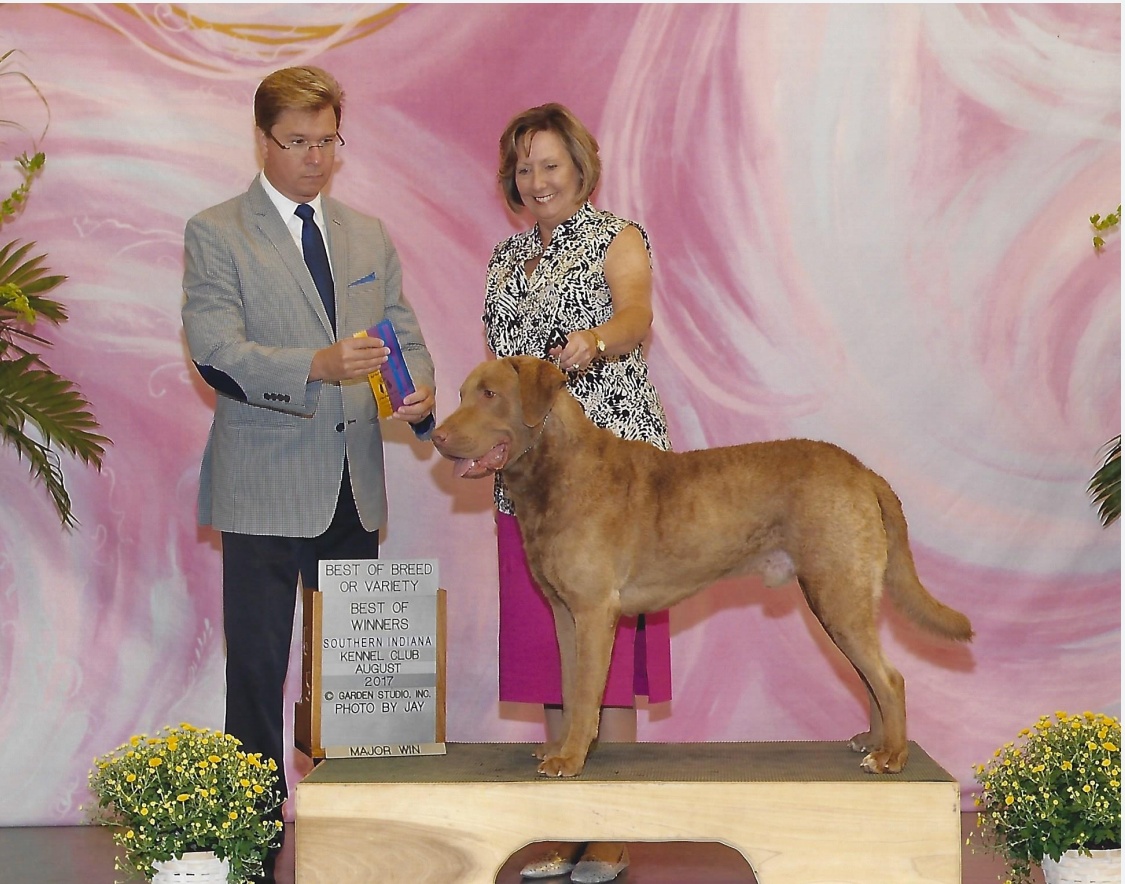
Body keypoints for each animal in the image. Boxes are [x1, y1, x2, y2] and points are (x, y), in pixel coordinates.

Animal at [432, 355, 973, 778]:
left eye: (489, 394)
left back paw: (892, 757)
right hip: (839, 598)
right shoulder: (565, 614)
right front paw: (560, 746)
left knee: (890, 677)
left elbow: (586, 693)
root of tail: (864, 471)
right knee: (871, 675)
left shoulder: (593, 609)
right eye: (460, 394)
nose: (436, 435)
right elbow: (566, 686)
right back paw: (873, 742)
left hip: (838, 591)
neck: (556, 471)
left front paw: (569, 760)